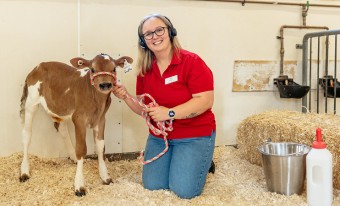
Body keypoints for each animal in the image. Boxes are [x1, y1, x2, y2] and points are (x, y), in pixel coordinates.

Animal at [18, 53, 133, 196]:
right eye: (92, 69)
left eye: (114, 69)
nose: (105, 84)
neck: (96, 101)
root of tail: (38, 66)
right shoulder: (79, 119)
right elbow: (82, 149)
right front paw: (79, 185)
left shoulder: (101, 119)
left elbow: (101, 147)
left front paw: (105, 177)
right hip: (31, 103)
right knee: (26, 135)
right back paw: (24, 171)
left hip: (58, 107)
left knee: (61, 129)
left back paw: (72, 157)